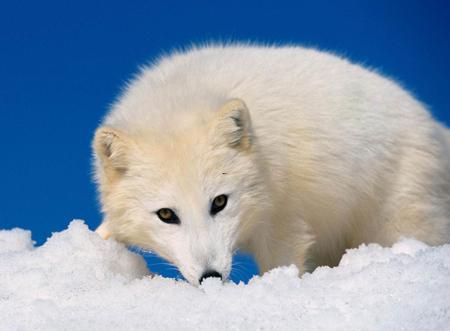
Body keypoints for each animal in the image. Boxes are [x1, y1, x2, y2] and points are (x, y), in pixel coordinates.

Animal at [92, 44, 450, 286]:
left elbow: (283, 265)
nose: (211, 277)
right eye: (166, 214)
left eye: (219, 202)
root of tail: (433, 126)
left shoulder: (284, 221)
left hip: (398, 224)